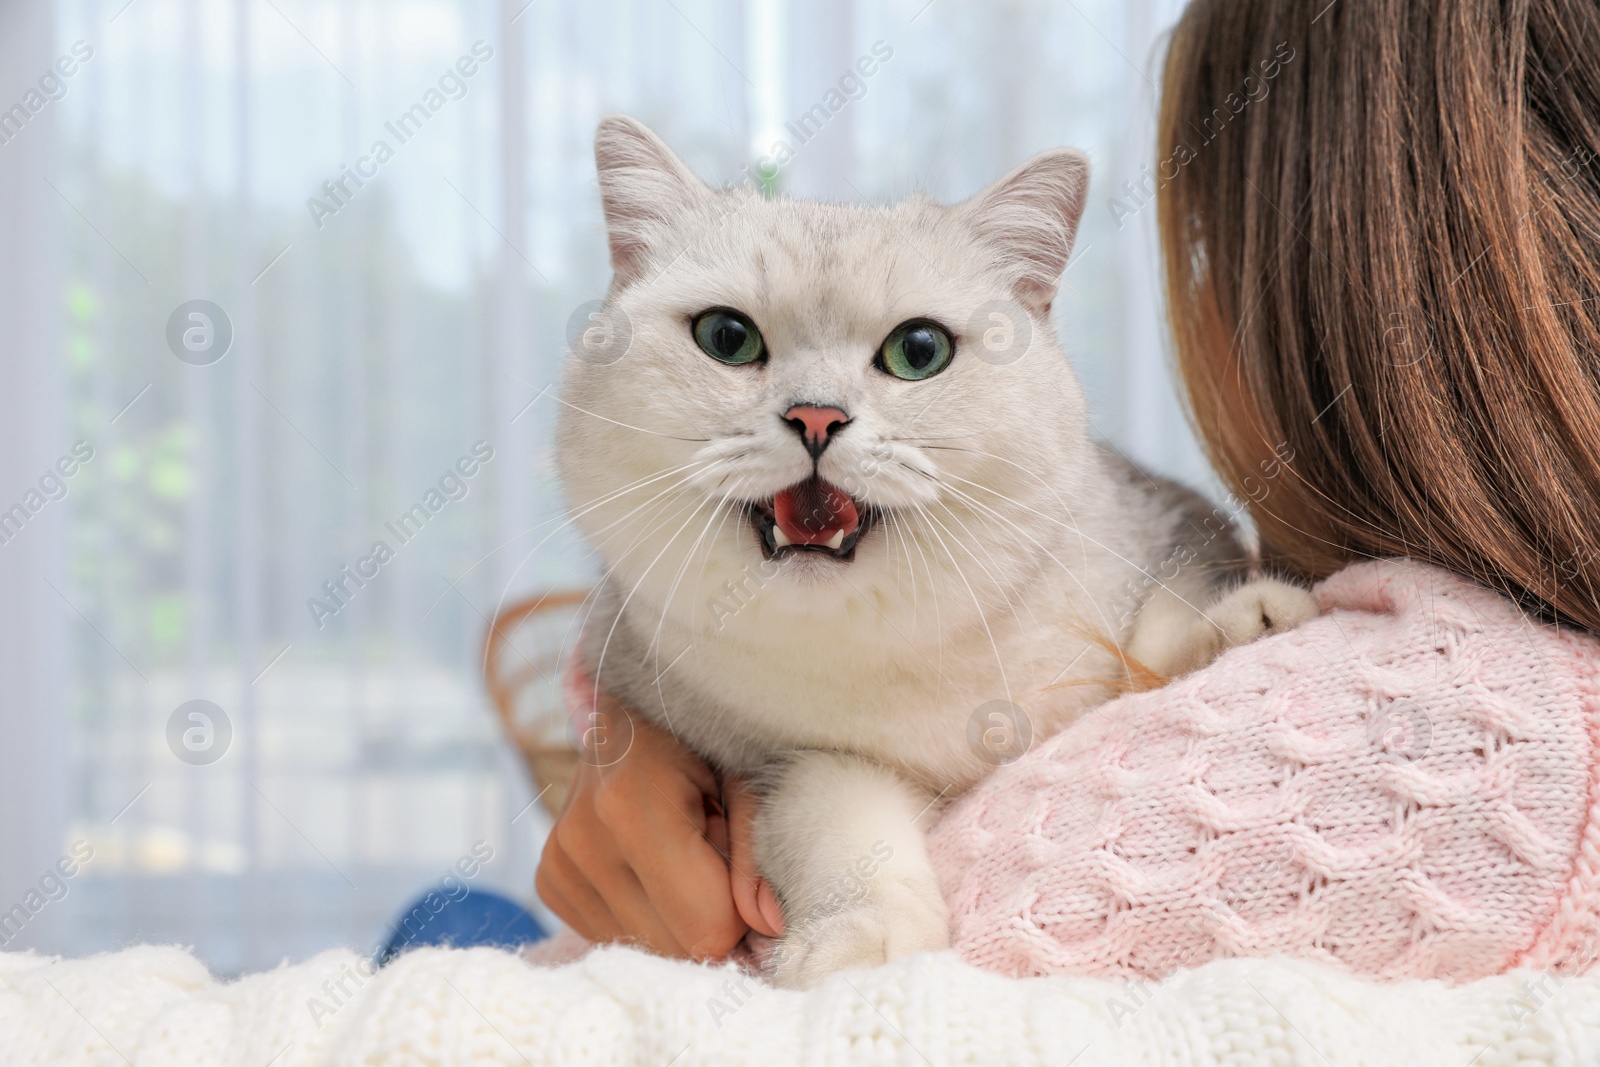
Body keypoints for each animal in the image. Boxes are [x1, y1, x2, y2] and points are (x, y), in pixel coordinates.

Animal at [556, 116, 1318, 991]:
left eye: (917, 350)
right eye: (727, 337)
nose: (816, 417)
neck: (906, 648)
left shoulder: (1168, 524)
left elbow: (1153, 642)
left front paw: (1247, 621)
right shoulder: (766, 759)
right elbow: (834, 804)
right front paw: (863, 937)